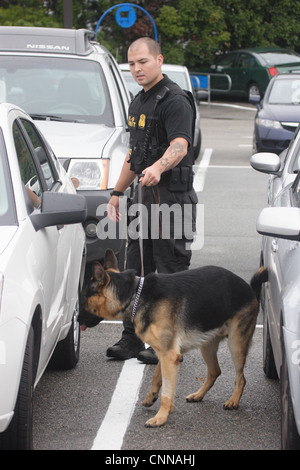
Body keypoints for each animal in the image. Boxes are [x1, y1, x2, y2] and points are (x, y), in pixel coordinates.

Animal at [79, 252, 268, 428]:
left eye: (83, 298)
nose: (76, 318)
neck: (135, 295)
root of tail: (250, 290)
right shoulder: (163, 353)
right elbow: (156, 376)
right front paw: (151, 397)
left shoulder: (169, 356)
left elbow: (167, 392)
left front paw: (161, 417)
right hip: (207, 346)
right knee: (215, 371)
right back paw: (198, 395)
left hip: (236, 344)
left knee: (240, 377)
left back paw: (233, 400)